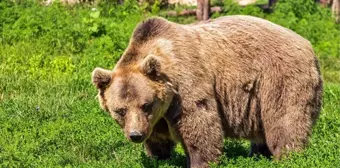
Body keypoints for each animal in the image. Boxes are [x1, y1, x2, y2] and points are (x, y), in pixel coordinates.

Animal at [91, 15, 322, 167]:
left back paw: (287, 156)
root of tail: (308, 45)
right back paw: (259, 153)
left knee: (285, 120)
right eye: (120, 110)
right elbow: (157, 137)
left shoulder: (186, 85)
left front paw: (199, 161)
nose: (136, 135)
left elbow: (199, 123)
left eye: (146, 105)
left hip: (279, 78)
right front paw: (157, 156)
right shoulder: (158, 115)